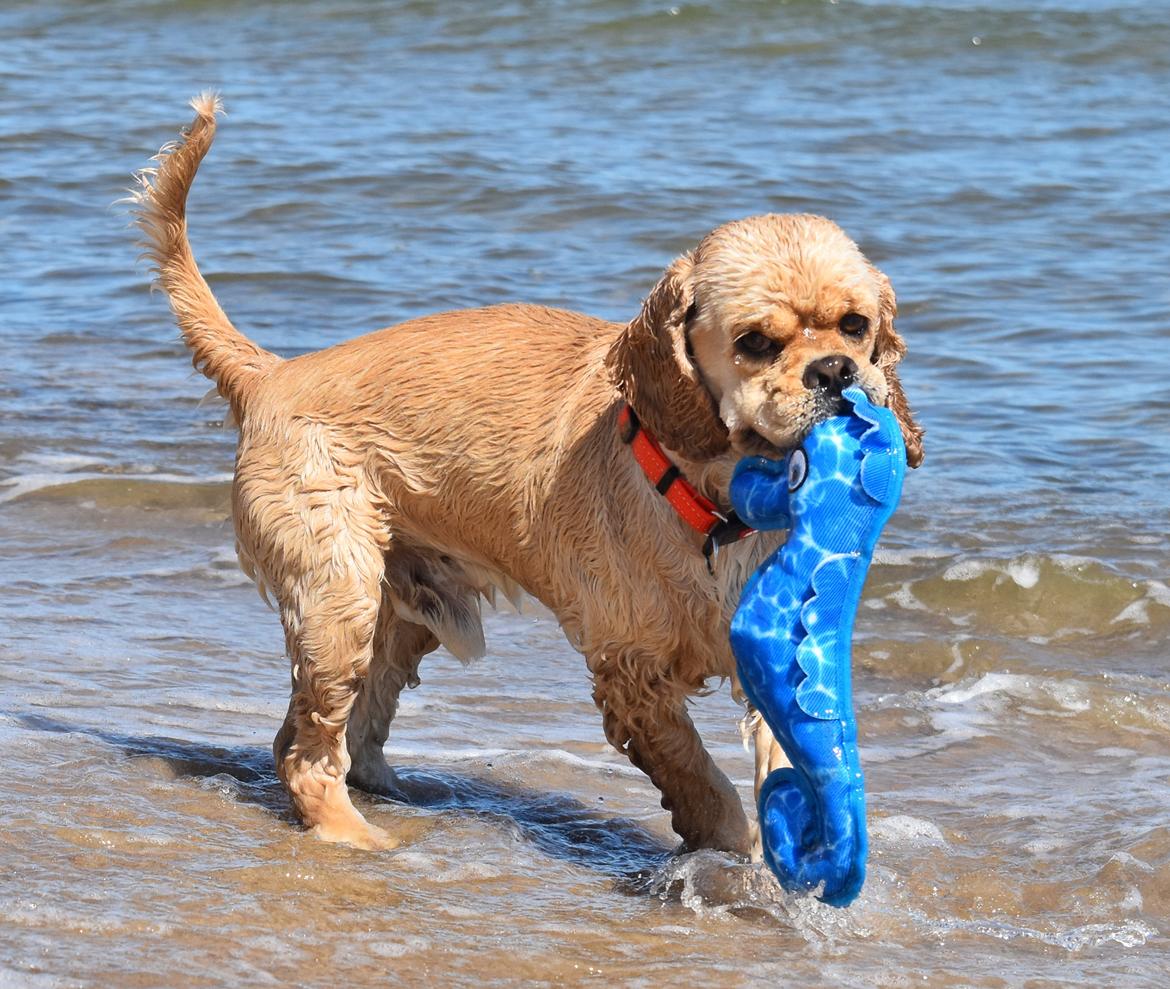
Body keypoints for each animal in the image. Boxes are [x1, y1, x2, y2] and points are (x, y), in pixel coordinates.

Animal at [134, 94, 921, 856]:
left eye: (856, 326)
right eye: (756, 342)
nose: (836, 373)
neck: (711, 507)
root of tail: (271, 374)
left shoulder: (776, 657)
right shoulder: (629, 674)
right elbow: (701, 786)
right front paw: (735, 859)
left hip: (403, 613)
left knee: (335, 731)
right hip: (337, 599)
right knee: (306, 750)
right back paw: (353, 833)